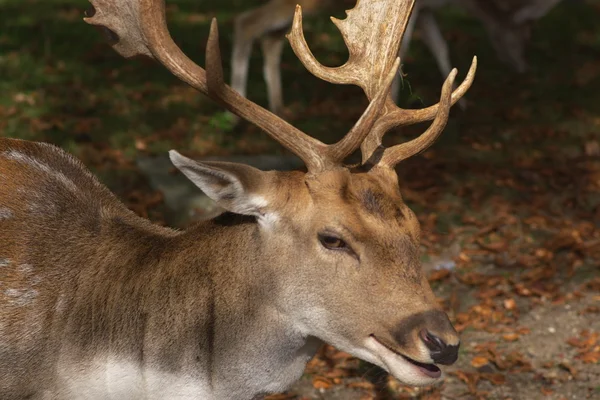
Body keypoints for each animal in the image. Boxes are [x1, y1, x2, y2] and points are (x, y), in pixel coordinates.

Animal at [231, 0, 564, 115]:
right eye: (526, 33)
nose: (523, 67)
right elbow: (400, 54)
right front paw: (389, 100)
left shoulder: (428, 12)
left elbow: (441, 47)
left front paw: (461, 103)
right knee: (247, 21)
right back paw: (235, 102)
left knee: (271, 37)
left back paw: (276, 106)